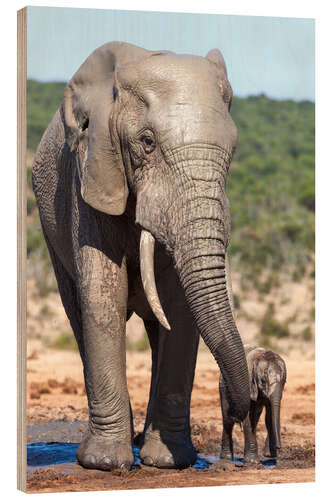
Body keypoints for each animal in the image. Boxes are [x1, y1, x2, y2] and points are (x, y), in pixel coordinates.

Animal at [33, 41, 249, 470]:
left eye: (232, 150)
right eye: (147, 142)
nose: (239, 409)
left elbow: (179, 306)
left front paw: (167, 461)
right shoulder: (90, 174)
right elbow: (103, 296)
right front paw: (104, 463)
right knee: (77, 312)